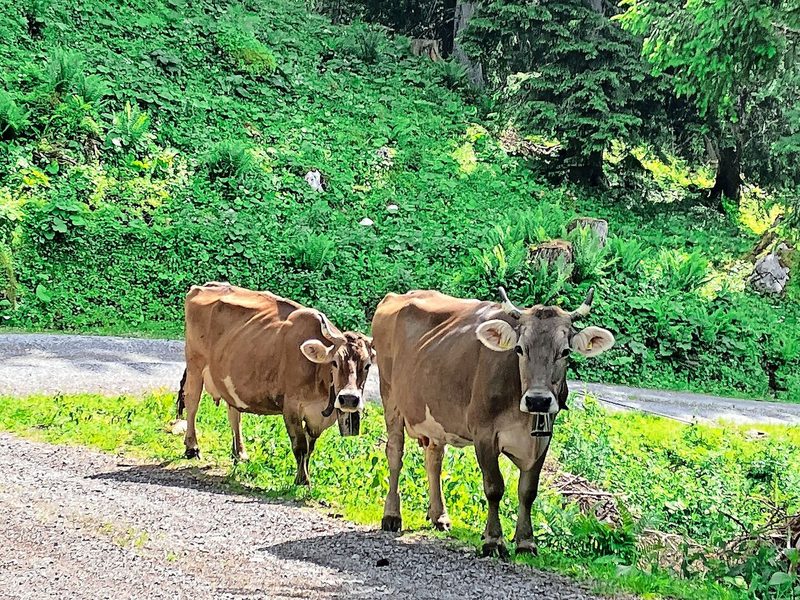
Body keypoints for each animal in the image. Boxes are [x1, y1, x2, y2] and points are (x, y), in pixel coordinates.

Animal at [176, 282, 374, 485]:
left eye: (367, 365)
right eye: (334, 362)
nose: (349, 399)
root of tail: (209, 285)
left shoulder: (318, 418)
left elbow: (310, 447)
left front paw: (305, 477)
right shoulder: (291, 407)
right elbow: (300, 446)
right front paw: (302, 481)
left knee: (234, 413)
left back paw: (240, 453)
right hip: (195, 364)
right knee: (192, 403)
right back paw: (192, 447)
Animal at [371, 287, 615, 556]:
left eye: (565, 352)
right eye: (519, 349)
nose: (538, 401)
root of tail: (398, 296)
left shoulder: (543, 438)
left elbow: (528, 491)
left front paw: (526, 542)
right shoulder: (484, 433)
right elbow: (494, 487)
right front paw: (493, 540)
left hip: (435, 416)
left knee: (434, 459)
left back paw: (439, 516)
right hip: (390, 397)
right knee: (395, 453)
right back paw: (392, 515)